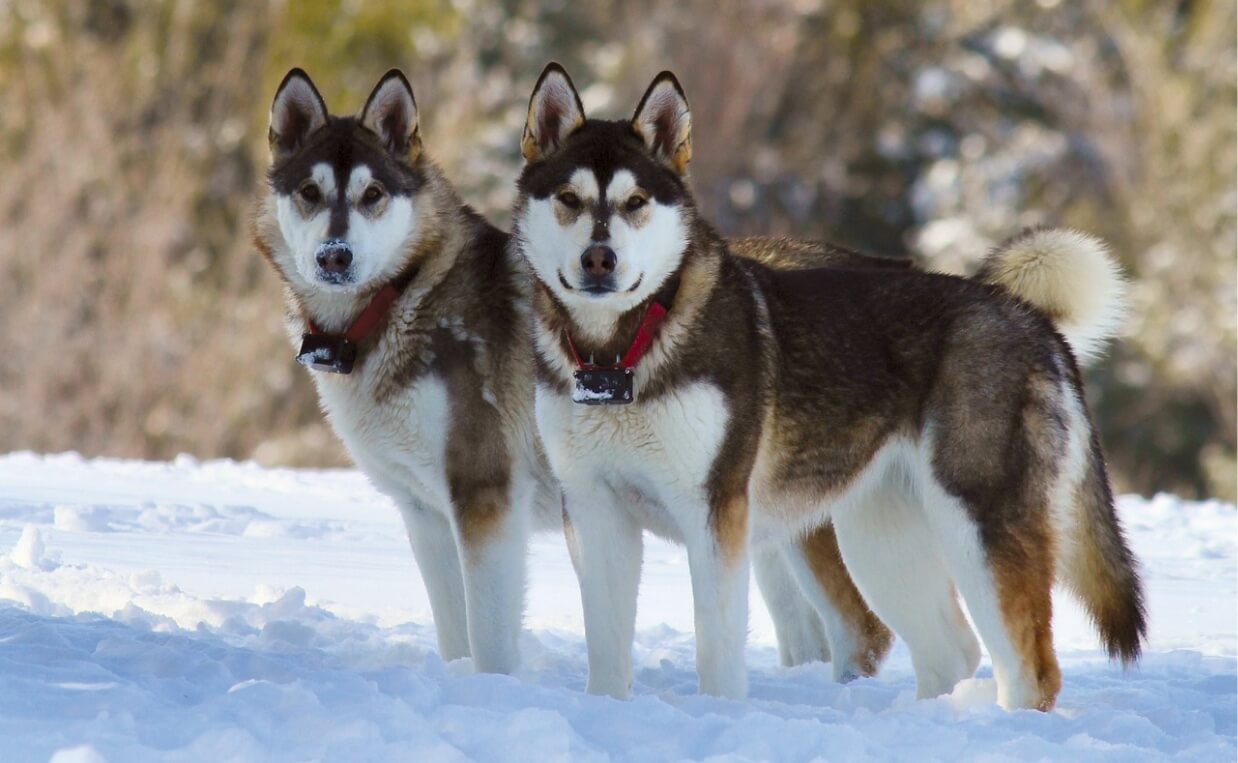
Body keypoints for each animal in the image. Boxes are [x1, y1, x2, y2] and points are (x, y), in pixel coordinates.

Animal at [515, 64, 1148, 708]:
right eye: (569, 199)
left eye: (635, 202)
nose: (599, 259)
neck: (621, 353)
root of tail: (1029, 316)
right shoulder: (593, 509)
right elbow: (605, 647)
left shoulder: (714, 512)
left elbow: (716, 648)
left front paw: (719, 712)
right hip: (879, 538)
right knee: (950, 650)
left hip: (977, 526)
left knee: (1029, 670)